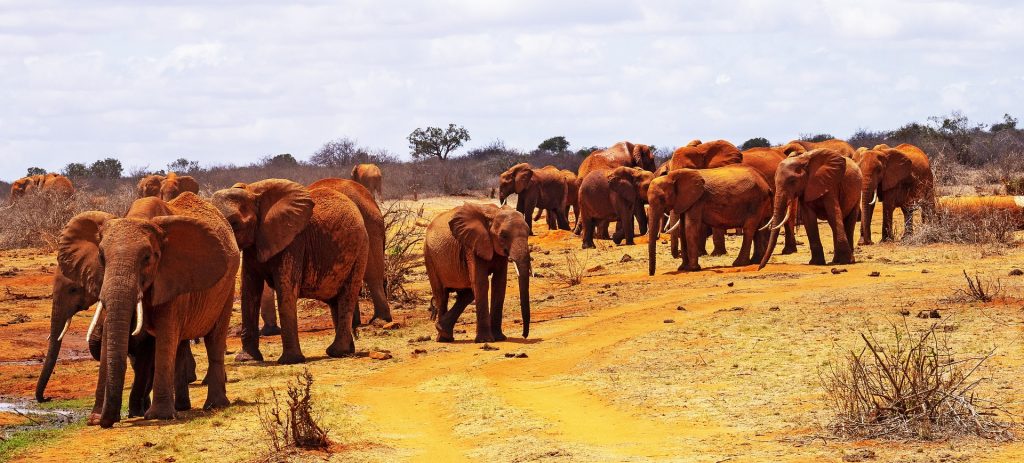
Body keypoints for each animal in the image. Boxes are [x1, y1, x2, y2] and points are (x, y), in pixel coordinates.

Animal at [57, 191, 237, 426]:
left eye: (147, 258)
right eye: (101, 257)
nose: (107, 420)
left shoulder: (172, 276)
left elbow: (166, 333)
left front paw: (159, 416)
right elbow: (110, 335)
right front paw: (95, 419)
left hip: (228, 286)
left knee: (214, 338)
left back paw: (215, 405)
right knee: (181, 344)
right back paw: (182, 407)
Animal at [210, 179, 368, 362]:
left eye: (235, 223)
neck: (253, 192)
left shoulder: (294, 242)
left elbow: (285, 288)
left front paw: (290, 360)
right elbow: (249, 291)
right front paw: (246, 359)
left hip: (360, 251)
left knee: (347, 296)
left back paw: (337, 352)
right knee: (335, 301)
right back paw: (347, 351)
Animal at [423, 202, 532, 344]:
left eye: (528, 233)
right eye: (503, 235)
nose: (524, 335)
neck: (494, 213)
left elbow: (499, 283)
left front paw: (499, 338)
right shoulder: (472, 245)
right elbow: (481, 282)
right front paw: (485, 340)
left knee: (467, 294)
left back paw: (443, 331)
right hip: (429, 256)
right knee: (441, 295)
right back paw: (443, 339)